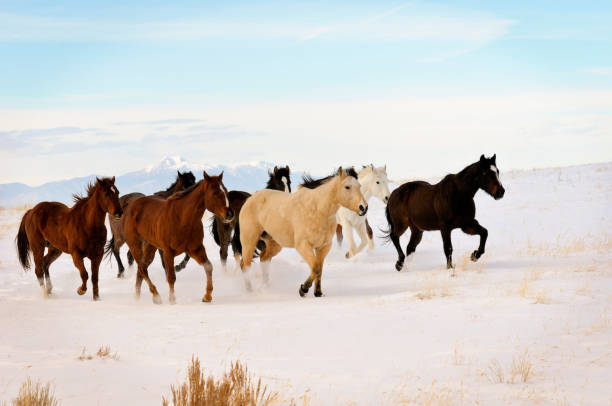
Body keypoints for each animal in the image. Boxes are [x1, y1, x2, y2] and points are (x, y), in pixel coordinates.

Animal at [120, 170, 234, 302]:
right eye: (215, 193)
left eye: (225, 190)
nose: (229, 214)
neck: (182, 218)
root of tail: (129, 207)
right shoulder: (168, 252)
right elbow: (171, 277)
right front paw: (172, 300)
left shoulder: (195, 249)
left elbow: (208, 266)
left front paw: (207, 296)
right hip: (134, 245)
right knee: (142, 269)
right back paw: (156, 296)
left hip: (150, 247)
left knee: (141, 269)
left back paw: (138, 297)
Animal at [237, 168, 366, 298]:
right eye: (347, 187)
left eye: (360, 186)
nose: (363, 207)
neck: (317, 209)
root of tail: (249, 199)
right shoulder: (303, 245)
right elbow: (315, 268)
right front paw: (303, 289)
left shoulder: (323, 247)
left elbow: (319, 269)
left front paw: (318, 293)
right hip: (249, 241)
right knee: (245, 264)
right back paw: (249, 290)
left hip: (275, 244)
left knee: (263, 258)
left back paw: (266, 287)